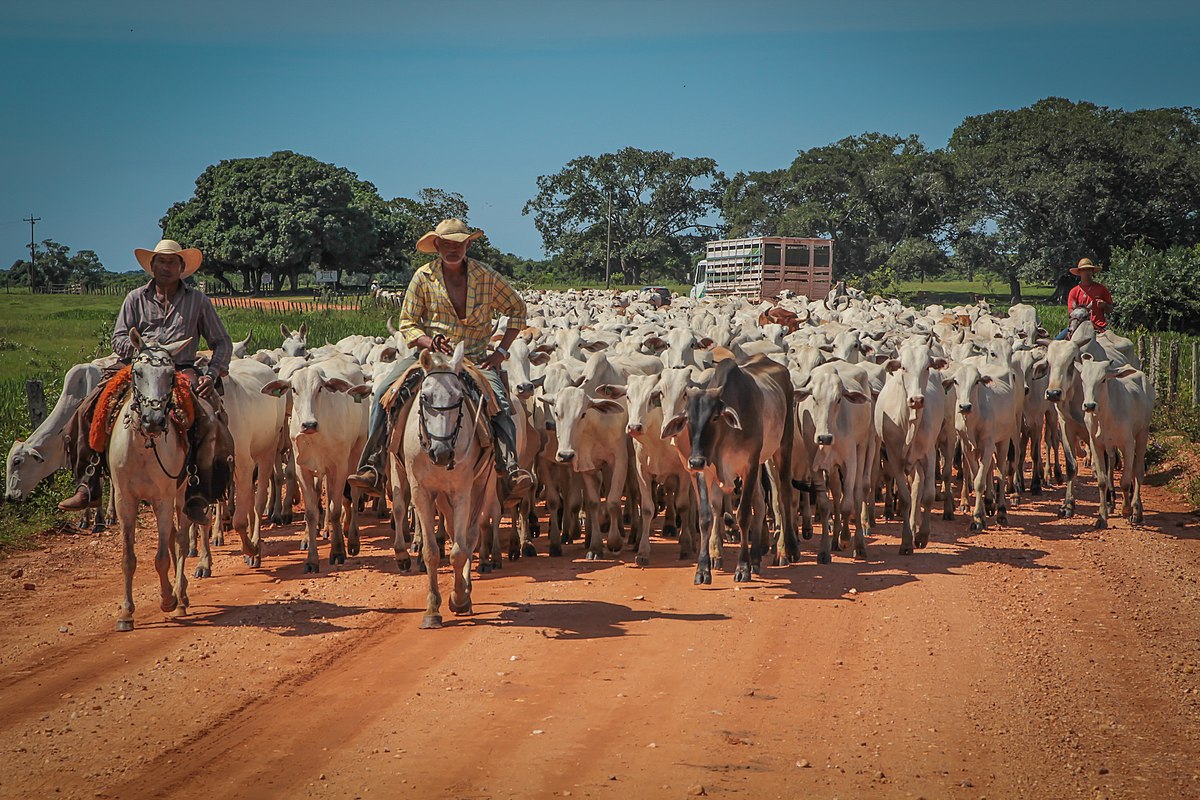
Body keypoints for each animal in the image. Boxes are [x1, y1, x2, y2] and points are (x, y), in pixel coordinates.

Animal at [105, 328, 194, 633]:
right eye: (138, 372)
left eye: (170, 375)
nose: (153, 420)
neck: (143, 447)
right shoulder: (125, 500)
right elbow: (127, 558)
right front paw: (125, 612)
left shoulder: (164, 498)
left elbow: (162, 557)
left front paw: (168, 599)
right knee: (173, 537)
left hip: (180, 495)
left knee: (180, 540)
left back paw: (180, 597)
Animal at [403, 340, 496, 628]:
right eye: (425, 397)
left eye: (458, 397)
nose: (441, 452)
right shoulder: (421, 493)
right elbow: (431, 552)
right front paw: (432, 610)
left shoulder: (463, 492)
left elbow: (459, 551)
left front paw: (459, 598)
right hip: (442, 498)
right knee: (457, 534)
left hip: (482, 487)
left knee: (469, 536)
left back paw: (466, 590)